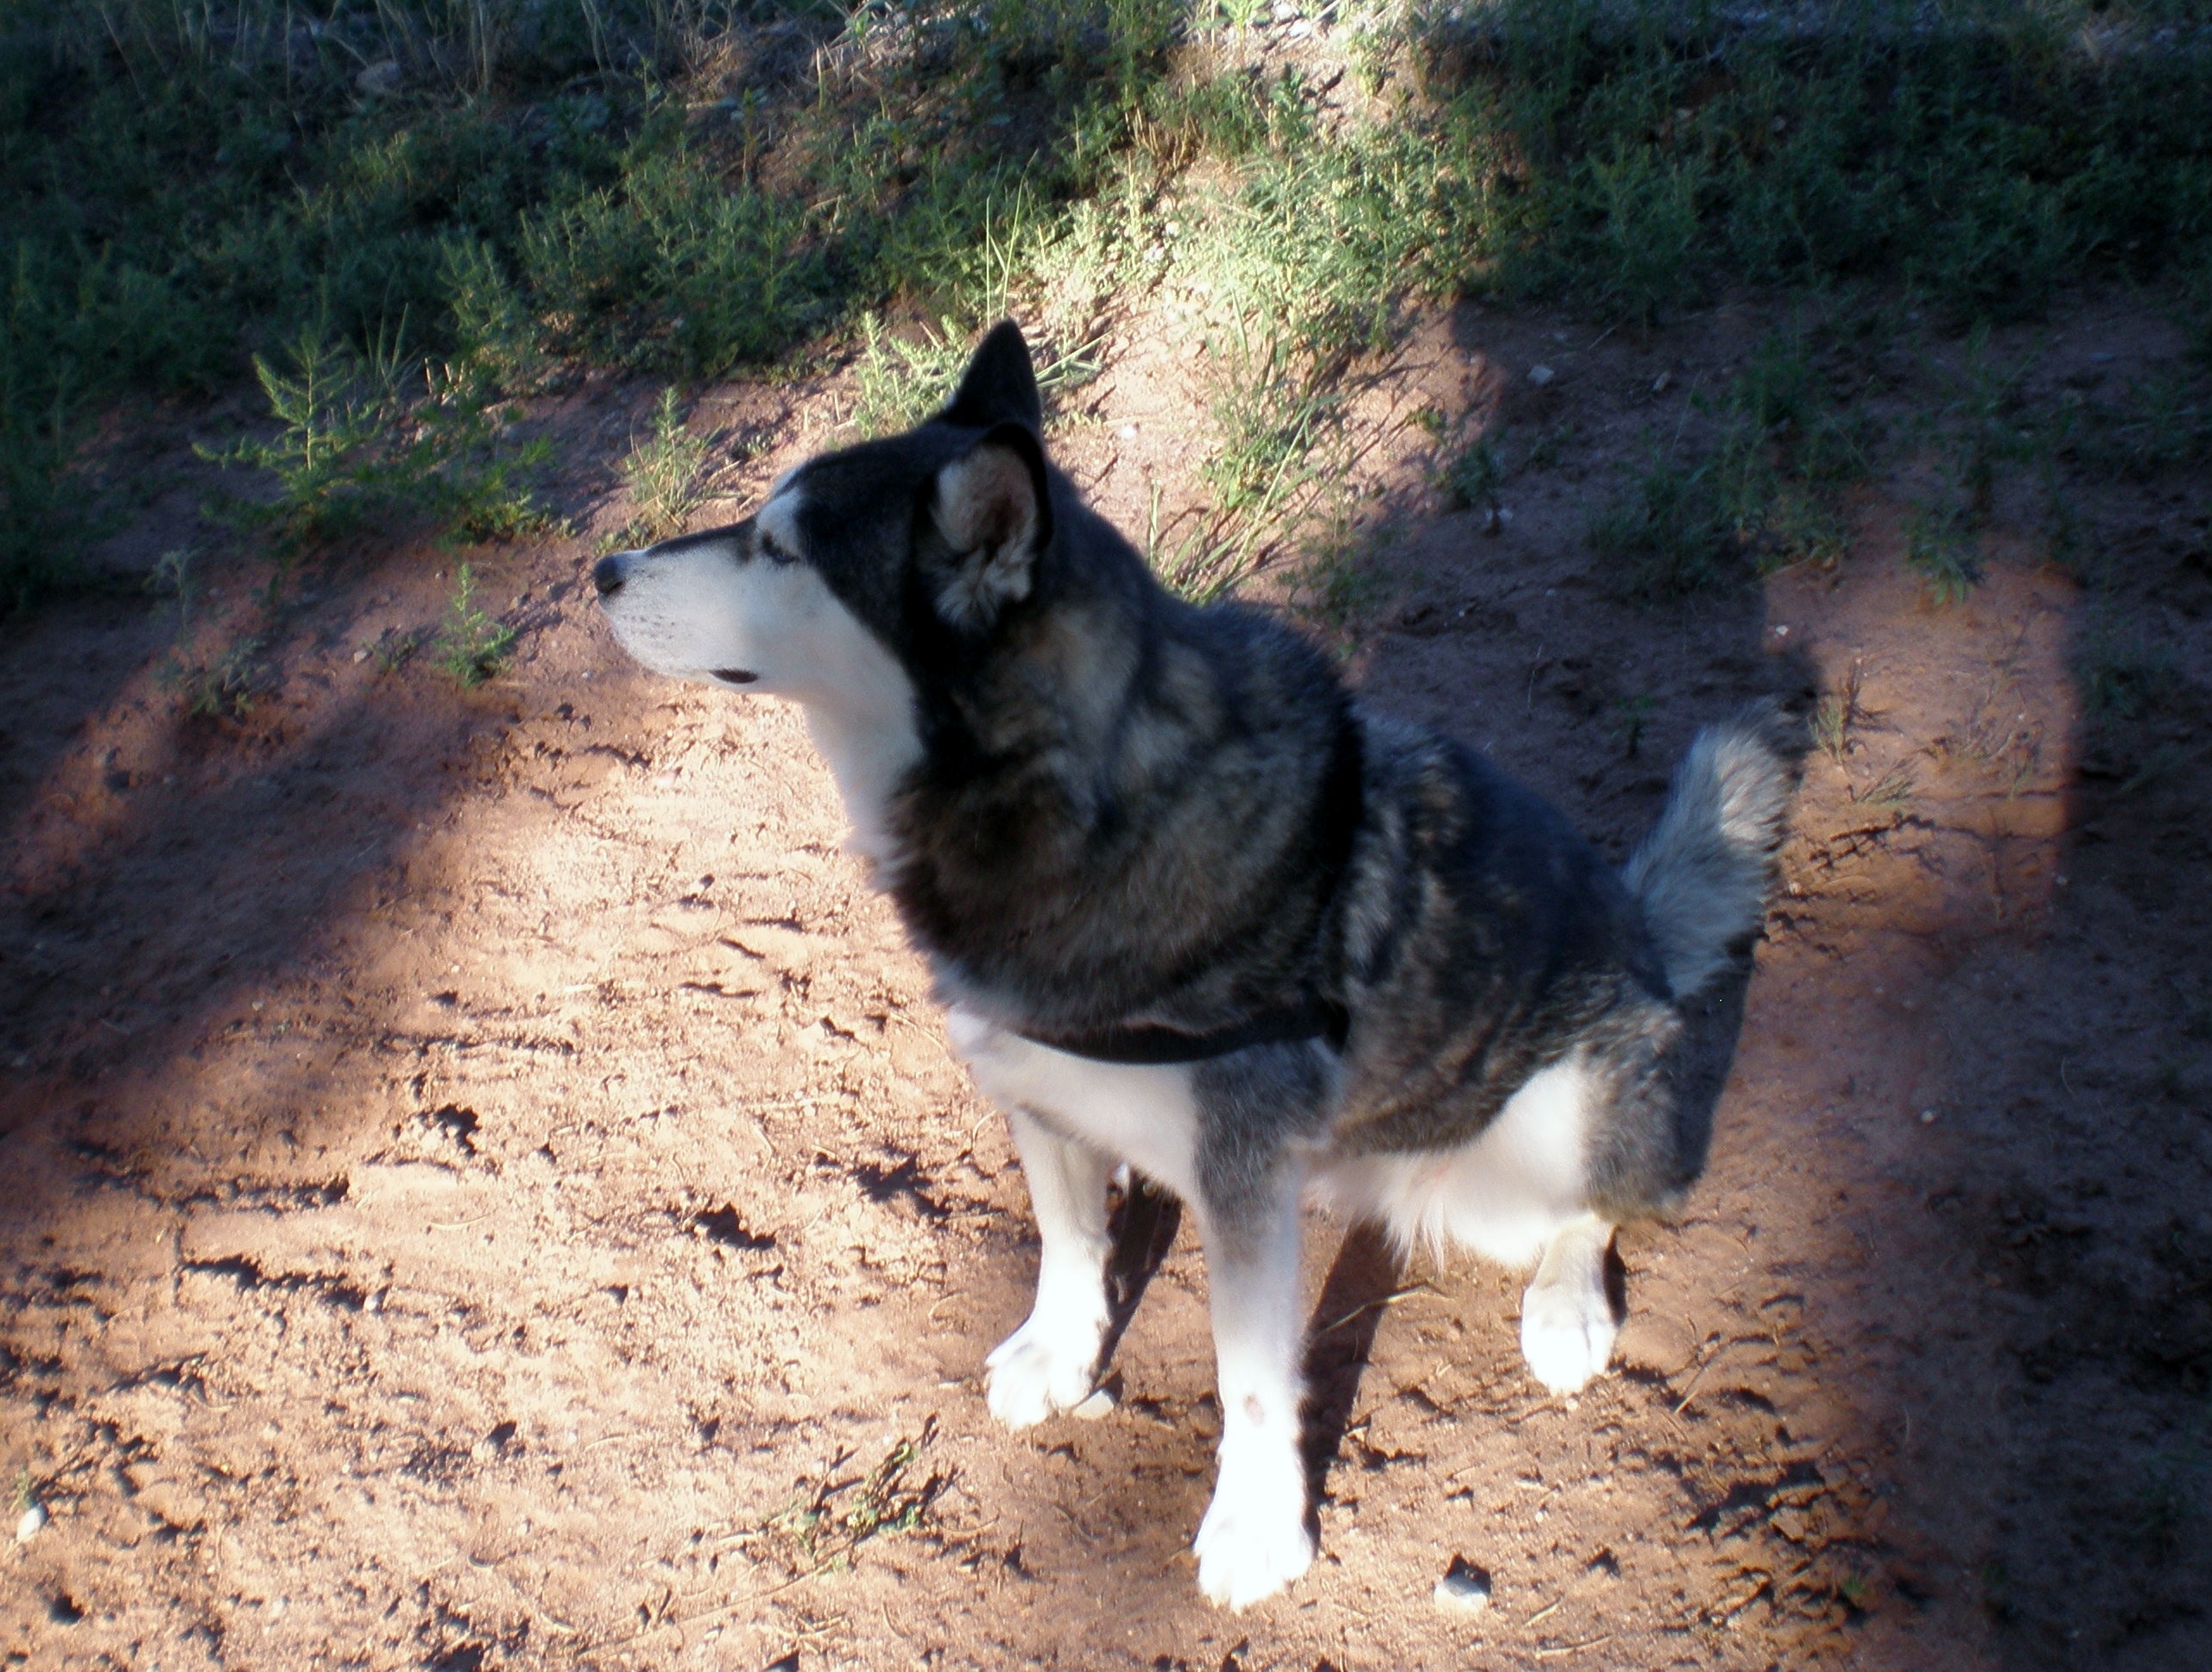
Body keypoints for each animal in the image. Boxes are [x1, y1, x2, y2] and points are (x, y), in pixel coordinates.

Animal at [591, 322, 1791, 1609]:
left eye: (780, 548)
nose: (604, 569)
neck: (1074, 799)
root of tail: (1642, 929)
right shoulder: (1038, 1092)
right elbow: (1068, 1246)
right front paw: (1059, 1355)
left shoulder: (1242, 1178)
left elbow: (1252, 1377)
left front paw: (1256, 1526)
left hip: (1534, 1141)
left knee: (1600, 1210)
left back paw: (1566, 1308)